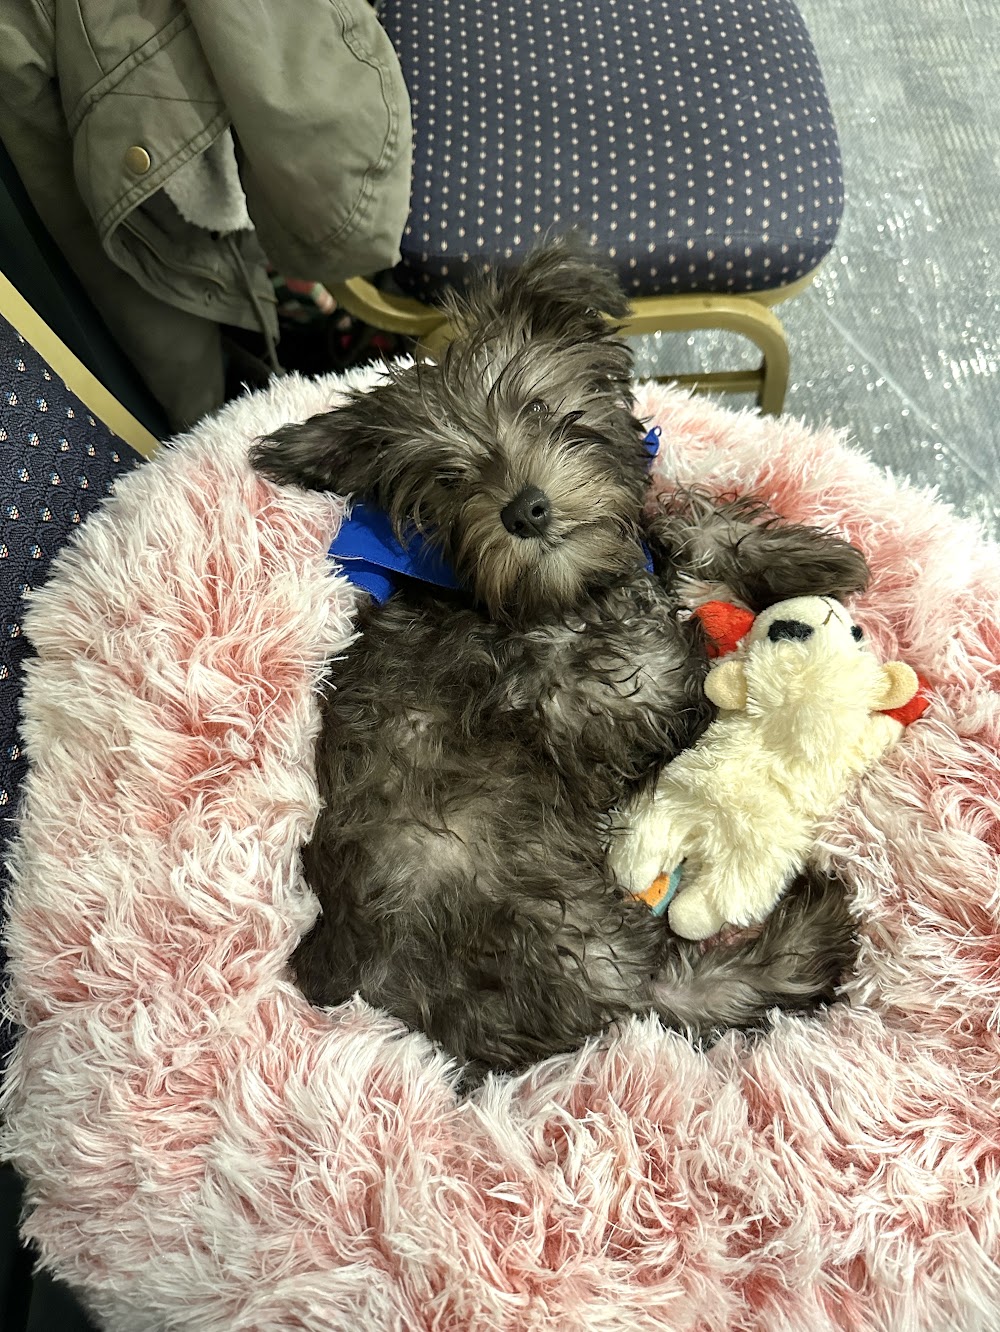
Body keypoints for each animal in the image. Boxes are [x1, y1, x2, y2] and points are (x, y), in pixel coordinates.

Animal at [254, 242, 873, 1081]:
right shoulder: (600, 699)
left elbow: (690, 527)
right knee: (675, 989)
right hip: (558, 919)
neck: (565, 590)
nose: (525, 509)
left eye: (543, 411)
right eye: (449, 478)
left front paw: (811, 558)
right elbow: (685, 656)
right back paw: (805, 934)